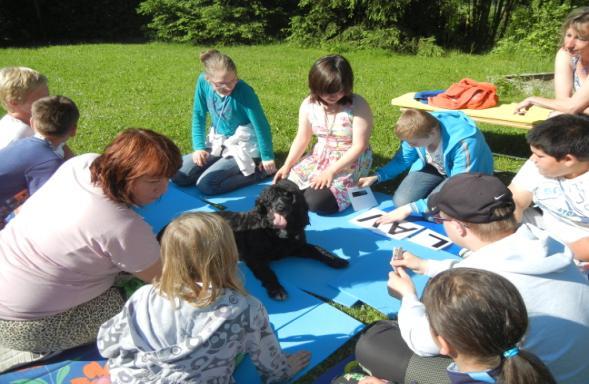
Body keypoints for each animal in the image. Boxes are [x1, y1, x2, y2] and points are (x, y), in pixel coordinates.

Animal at [217, 180, 350, 300]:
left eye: (289, 196)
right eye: (270, 198)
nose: (281, 207)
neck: (276, 231)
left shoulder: (297, 247)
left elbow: (317, 249)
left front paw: (336, 260)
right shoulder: (254, 258)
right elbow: (267, 273)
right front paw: (277, 289)